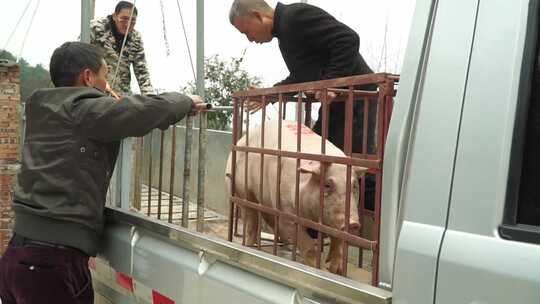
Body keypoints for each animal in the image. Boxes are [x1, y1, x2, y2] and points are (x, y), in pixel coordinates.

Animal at [226, 119, 364, 276]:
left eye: (354, 186)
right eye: (327, 185)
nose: (353, 224)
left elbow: (337, 240)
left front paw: (335, 271)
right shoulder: (286, 211)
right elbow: (307, 245)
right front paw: (320, 270)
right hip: (240, 190)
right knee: (251, 218)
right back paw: (250, 246)